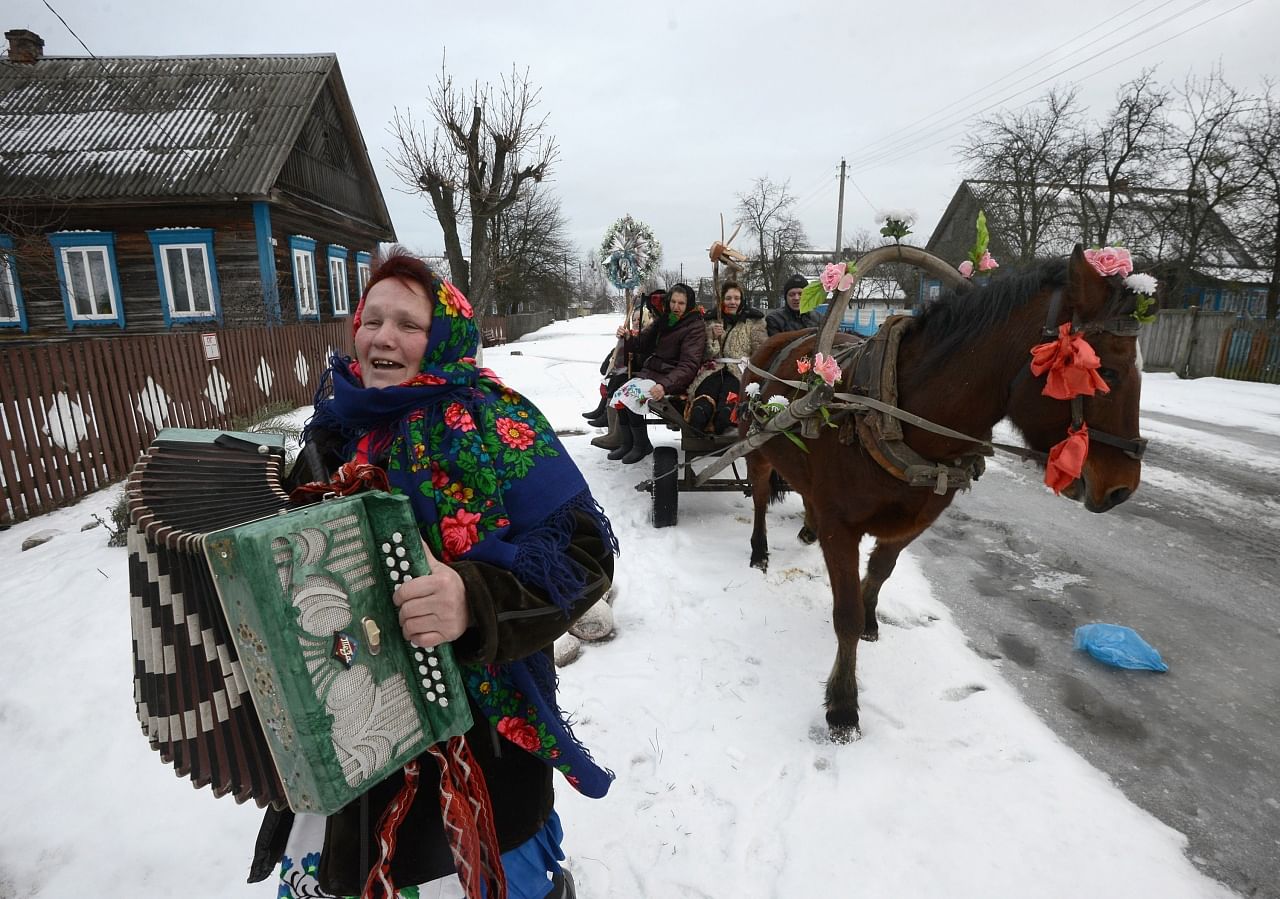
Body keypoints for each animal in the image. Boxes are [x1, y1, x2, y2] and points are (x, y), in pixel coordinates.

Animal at [747, 245, 1146, 737]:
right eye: (1104, 370)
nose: (1122, 489)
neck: (892, 412)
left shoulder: (917, 519)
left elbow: (880, 574)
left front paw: (870, 619)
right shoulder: (842, 527)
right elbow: (844, 614)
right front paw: (842, 703)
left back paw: (806, 528)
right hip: (758, 447)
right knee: (759, 498)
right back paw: (759, 550)